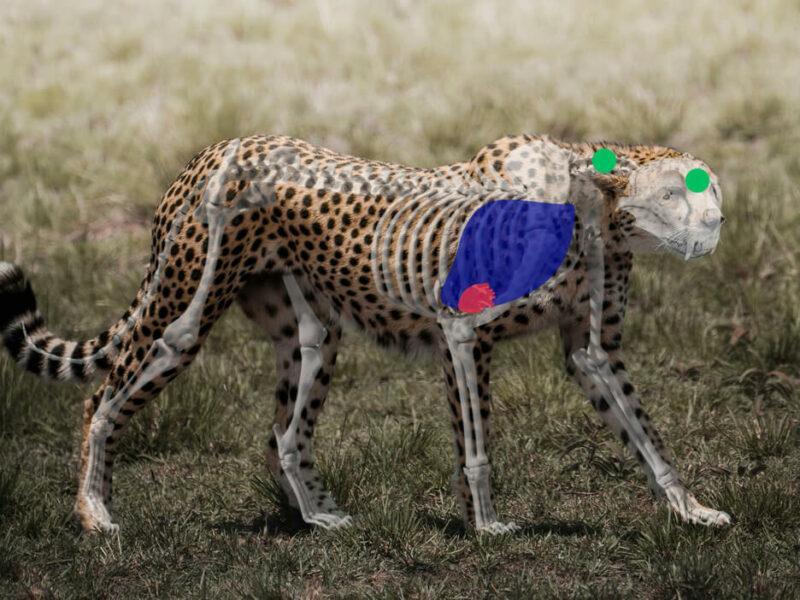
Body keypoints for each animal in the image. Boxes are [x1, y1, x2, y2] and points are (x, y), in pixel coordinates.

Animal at [0, 132, 730, 534]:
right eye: (676, 192)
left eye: (711, 189)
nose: (717, 222)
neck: (592, 208)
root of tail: (220, 145)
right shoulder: (462, 332)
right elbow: (476, 446)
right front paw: (488, 527)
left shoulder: (591, 350)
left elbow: (645, 433)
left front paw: (691, 511)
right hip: (185, 307)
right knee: (103, 397)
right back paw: (94, 513)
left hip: (313, 335)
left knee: (284, 432)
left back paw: (316, 517)